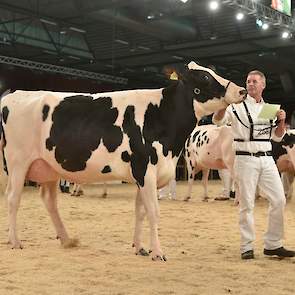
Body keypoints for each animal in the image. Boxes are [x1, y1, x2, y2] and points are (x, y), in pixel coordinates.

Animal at [0, 61, 247, 262]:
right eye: (204, 77)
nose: (242, 90)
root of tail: (13, 95)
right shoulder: (145, 169)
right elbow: (154, 211)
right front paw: (158, 253)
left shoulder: (143, 175)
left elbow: (141, 211)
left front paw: (140, 247)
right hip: (17, 162)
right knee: (13, 198)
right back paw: (15, 241)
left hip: (48, 167)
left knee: (49, 200)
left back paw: (66, 239)